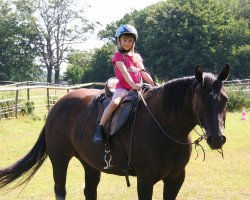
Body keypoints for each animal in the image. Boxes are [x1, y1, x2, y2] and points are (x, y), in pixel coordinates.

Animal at [0, 65, 229, 199]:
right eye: (200, 100)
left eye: (225, 100)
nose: (217, 138)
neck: (164, 125)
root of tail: (58, 105)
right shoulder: (145, 180)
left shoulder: (175, 179)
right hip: (59, 159)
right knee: (60, 190)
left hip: (90, 163)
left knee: (90, 190)